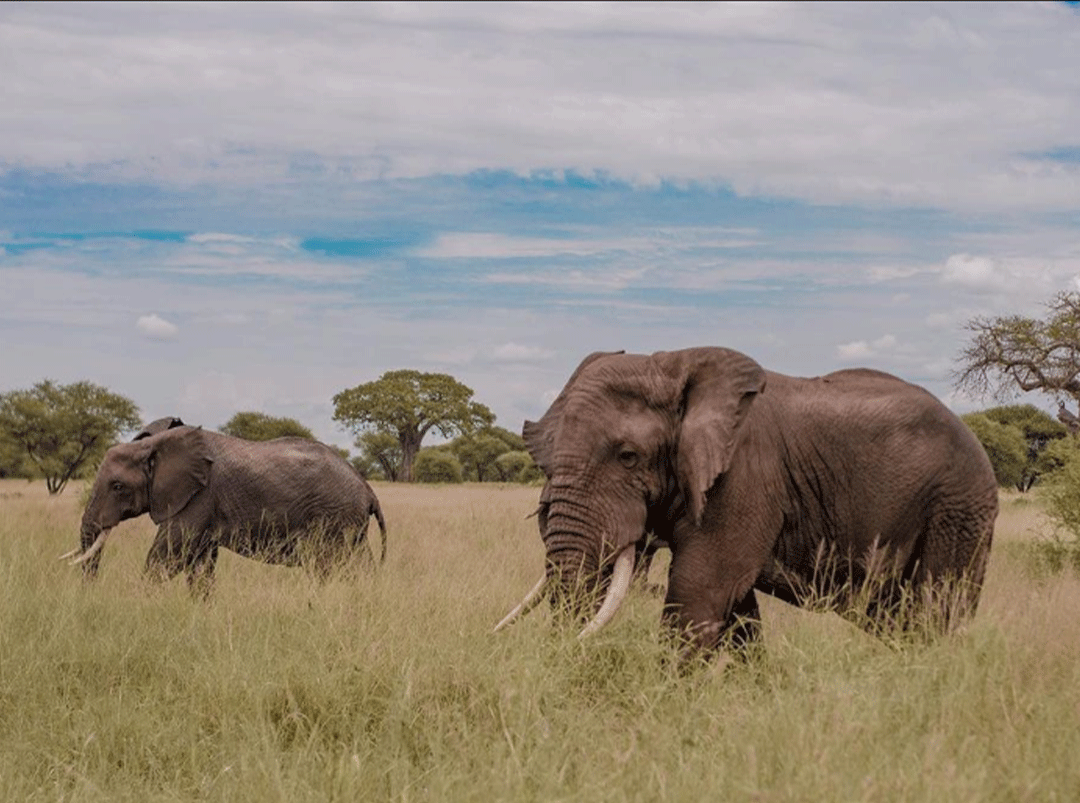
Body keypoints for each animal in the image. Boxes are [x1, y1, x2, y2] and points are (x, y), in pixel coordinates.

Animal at [64, 427, 388, 595]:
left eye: (117, 486)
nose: (89, 593)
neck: (155, 445)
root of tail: (368, 489)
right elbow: (200, 565)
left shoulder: (200, 496)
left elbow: (168, 556)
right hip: (350, 526)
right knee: (360, 566)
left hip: (334, 520)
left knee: (328, 567)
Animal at [494, 347, 997, 660]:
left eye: (628, 456)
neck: (670, 364)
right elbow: (736, 611)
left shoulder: (744, 478)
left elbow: (699, 592)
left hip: (959, 506)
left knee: (937, 611)